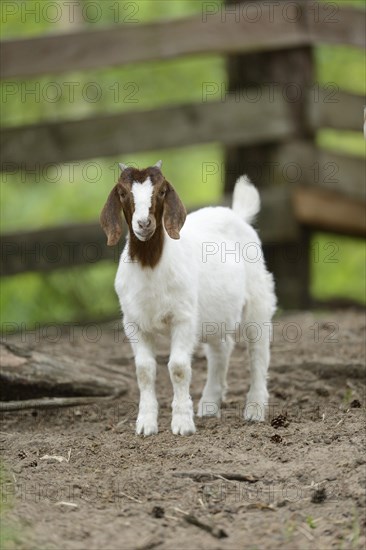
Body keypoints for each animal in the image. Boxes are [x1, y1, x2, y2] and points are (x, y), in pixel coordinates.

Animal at [99, 162, 274, 438]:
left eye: (162, 191)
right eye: (123, 193)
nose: (144, 223)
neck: (151, 264)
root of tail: (238, 215)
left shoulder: (183, 318)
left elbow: (179, 367)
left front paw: (182, 424)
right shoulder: (134, 323)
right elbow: (144, 370)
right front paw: (145, 424)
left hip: (257, 298)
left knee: (258, 350)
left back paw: (255, 409)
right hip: (214, 314)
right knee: (221, 348)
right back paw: (210, 404)